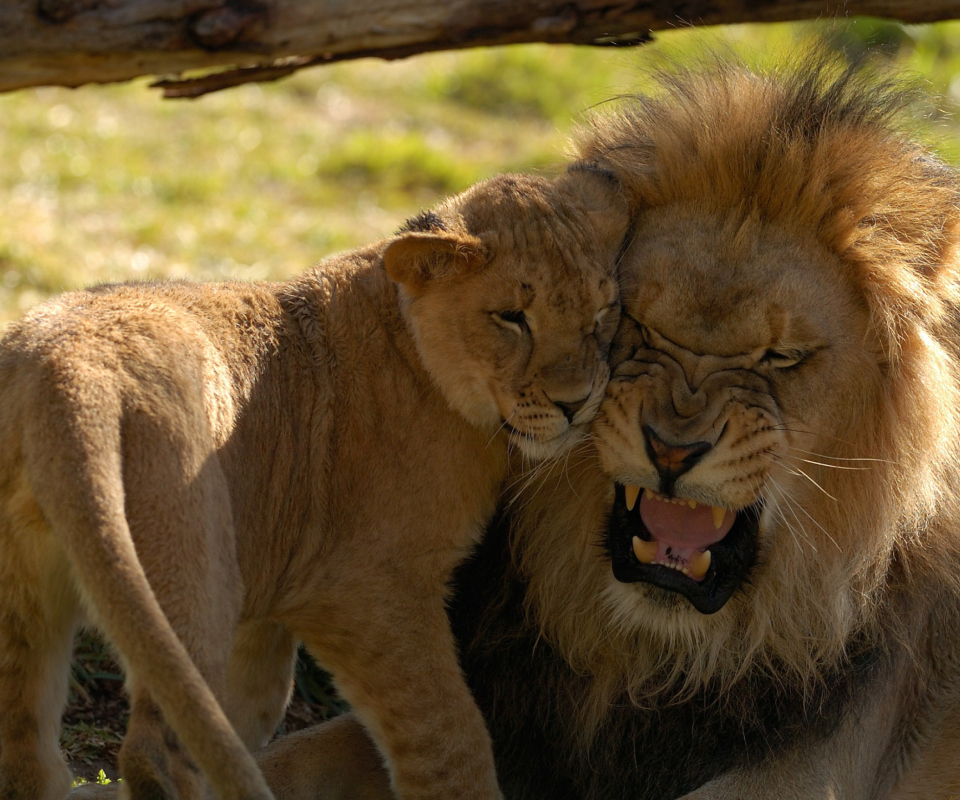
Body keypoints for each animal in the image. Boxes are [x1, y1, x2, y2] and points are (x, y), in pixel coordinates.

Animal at [0, 169, 632, 800]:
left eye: (603, 313)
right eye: (511, 317)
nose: (578, 404)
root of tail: (70, 372)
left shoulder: (276, 579)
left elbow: (250, 707)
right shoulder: (367, 589)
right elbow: (451, 739)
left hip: (27, 600)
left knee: (27, 749)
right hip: (194, 566)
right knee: (155, 753)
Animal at [251, 57, 960, 800]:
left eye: (782, 356)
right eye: (638, 325)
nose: (673, 450)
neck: (648, 655)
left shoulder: (811, 767)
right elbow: (293, 755)